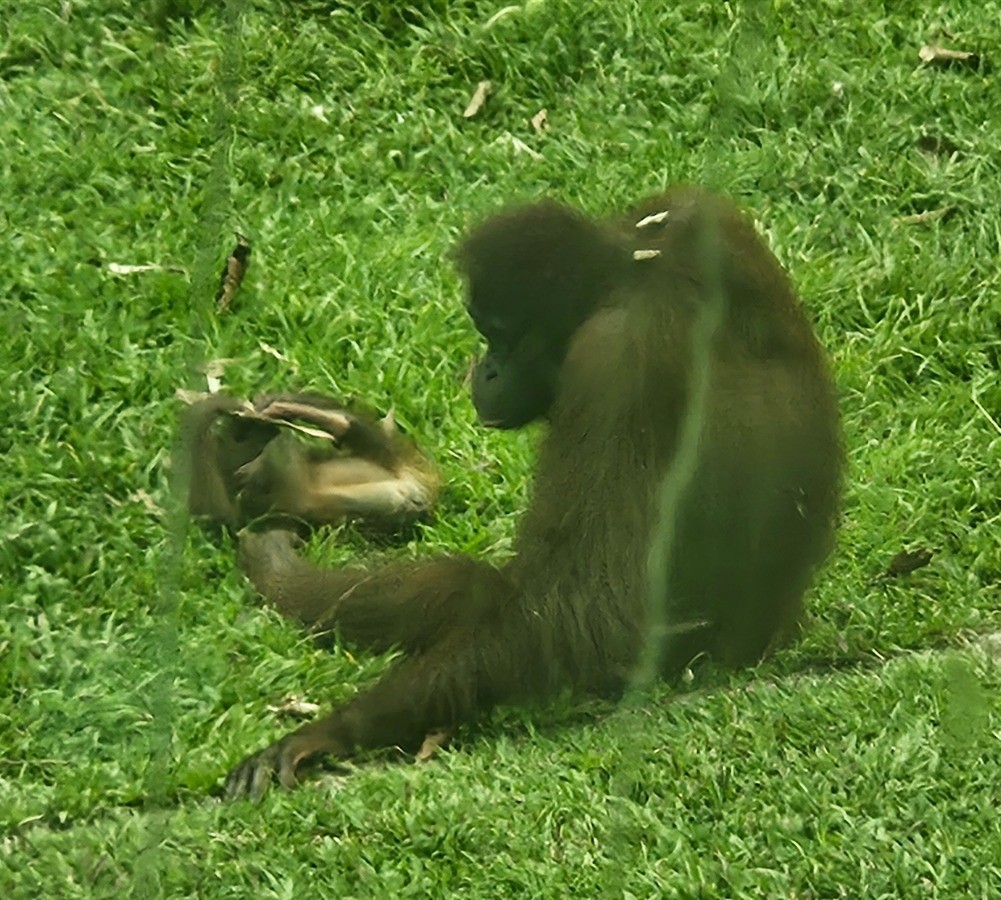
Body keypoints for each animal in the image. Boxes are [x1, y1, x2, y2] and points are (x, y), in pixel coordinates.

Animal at [220, 186, 842, 799]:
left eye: (498, 333)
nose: (486, 371)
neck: (634, 274)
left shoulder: (613, 360)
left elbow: (584, 603)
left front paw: (332, 731)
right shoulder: (702, 214)